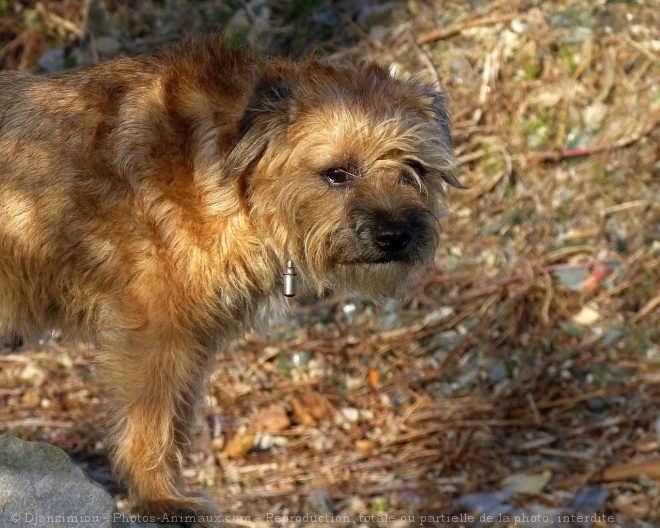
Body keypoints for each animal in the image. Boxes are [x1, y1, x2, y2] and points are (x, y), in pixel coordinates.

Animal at [0, 36, 458, 524]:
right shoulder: (157, 332)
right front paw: (160, 498)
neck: (233, 170)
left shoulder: (190, 340)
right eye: (337, 173)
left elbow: (176, 419)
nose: (396, 235)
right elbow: (153, 419)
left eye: (416, 169)